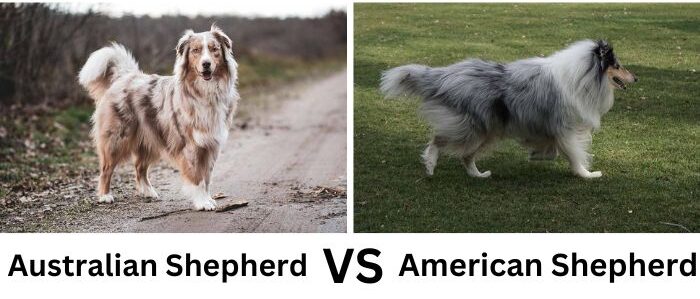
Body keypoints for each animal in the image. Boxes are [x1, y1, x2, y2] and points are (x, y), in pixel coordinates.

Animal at [78, 25, 239, 211]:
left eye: (214, 49)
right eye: (196, 51)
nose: (206, 64)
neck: (205, 92)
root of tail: (124, 76)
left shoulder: (211, 145)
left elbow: (206, 178)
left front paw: (208, 199)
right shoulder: (192, 146)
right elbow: (197, 178)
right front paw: (202, 202)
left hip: (150, 138)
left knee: (139, 168)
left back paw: (148, 192)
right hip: (116, 139)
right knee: (106, 168)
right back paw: (105, 195)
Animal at [380, 40, 636, 180]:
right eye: (617, 65)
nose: (636, 78)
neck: (583, 76)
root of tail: (445, 76)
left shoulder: (552, 128)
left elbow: (552, 149)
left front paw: (537, 154)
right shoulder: (565, 129)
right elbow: (574, 155)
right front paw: (587, 174)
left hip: (487, 132)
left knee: (465, 157)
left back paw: (478, 175)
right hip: (471, 129)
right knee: (438, 140)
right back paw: (430, 165)